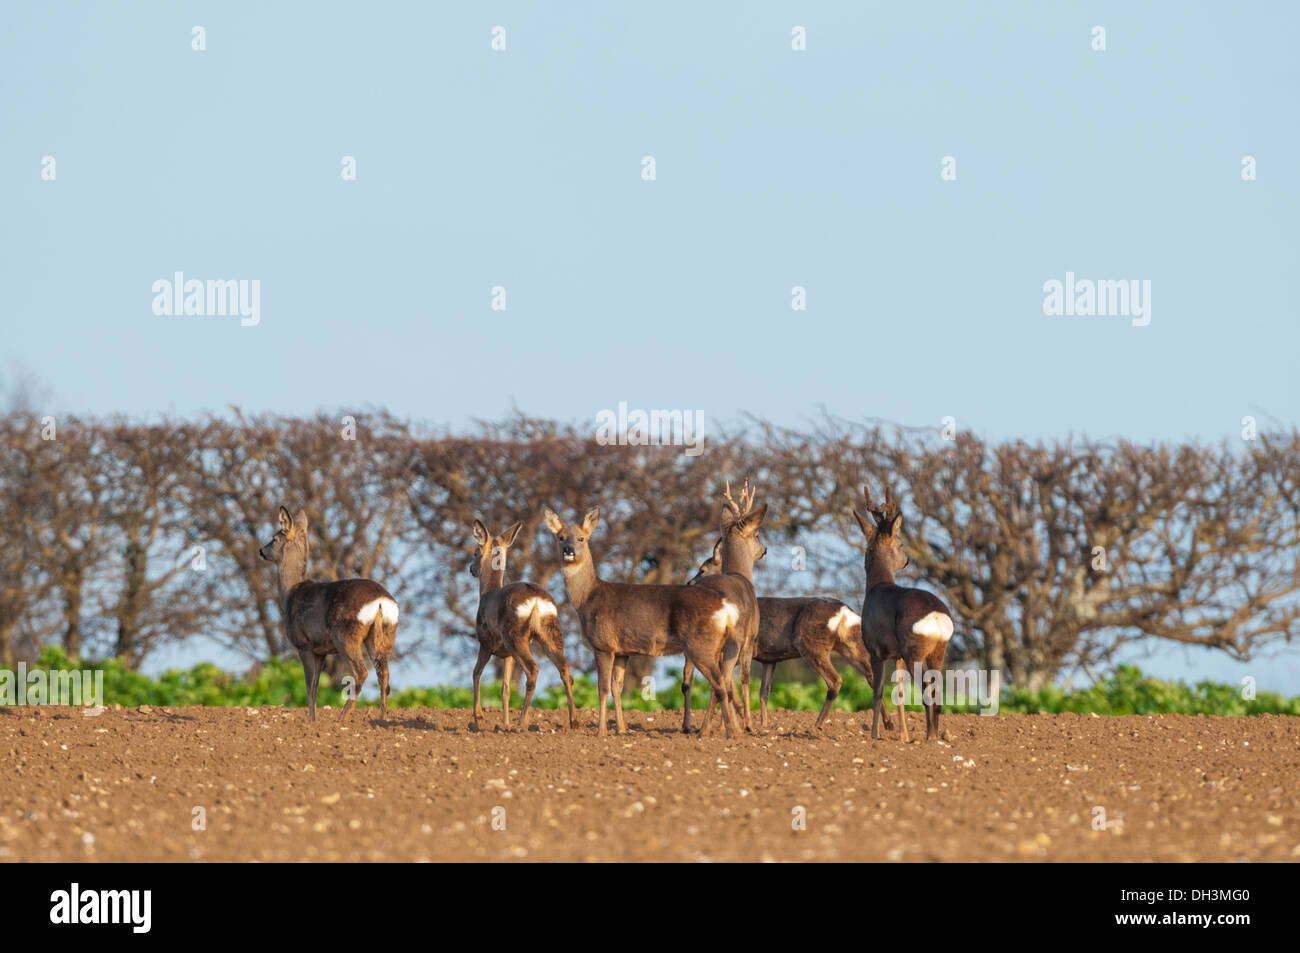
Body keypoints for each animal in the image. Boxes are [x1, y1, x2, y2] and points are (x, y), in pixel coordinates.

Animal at [258, 506, 398, 722]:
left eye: (274, 538)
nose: (261, 551)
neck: (291, 592)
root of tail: (381, 602)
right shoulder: (321, 650)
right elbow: (316, 686)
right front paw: (314, 720)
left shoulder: (304, 644)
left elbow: (309, 686)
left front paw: (311, 722)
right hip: (385, 635)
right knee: (384, 674)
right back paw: (382, 718)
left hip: (345, 635)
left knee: (361, 672)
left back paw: (341, 718)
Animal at [469, 518, 577, 731]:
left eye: (476, 552)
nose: (471, 568)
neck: (487, 594)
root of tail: (536, 600)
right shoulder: (507, 655)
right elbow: (505, 688)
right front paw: (504, 724)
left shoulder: (485, 641)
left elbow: (476, 673)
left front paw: (479, 717)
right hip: (550, 632)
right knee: (565, 669)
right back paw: (573, 720)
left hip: (515, 635)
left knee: (533, 669)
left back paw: (522, 723)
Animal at [541, 503, 746, 739]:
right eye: (560, 537)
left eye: (581, 538)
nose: (568, 550)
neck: (588, 598)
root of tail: (726, 608)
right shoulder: (623, 651)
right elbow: (617, 686)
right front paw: (621, 728)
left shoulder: (603, 645)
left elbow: (602, 688)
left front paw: (601, 731)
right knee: (724, 681)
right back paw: (727, 731)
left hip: (700, 645)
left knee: (719, 683)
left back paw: (727, 733)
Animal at [684, 539, 899, 733]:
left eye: (702, 569)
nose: (689, 583)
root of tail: (845, 611)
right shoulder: (769, 659)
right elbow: (763, 692)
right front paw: (761, 725)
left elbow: (722, 686)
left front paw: (720, 727)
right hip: (849, 645)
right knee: (871, 677)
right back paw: (888, 724)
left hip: (811, 644)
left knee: (835, 680)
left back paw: (816, 725)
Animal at [853, 486, 954, 742]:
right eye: (900, 544)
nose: (907, 560)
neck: (876, 586)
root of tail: (938, 618)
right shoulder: (895, 654)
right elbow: (898, 692)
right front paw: (903, 736)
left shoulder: (874, 649)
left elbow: (878, 691)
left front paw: (875, 735)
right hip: (938, 650)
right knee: (937, 694)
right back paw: (933, 735)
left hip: (914, 649)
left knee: (927, 693)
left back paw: (929, 737)